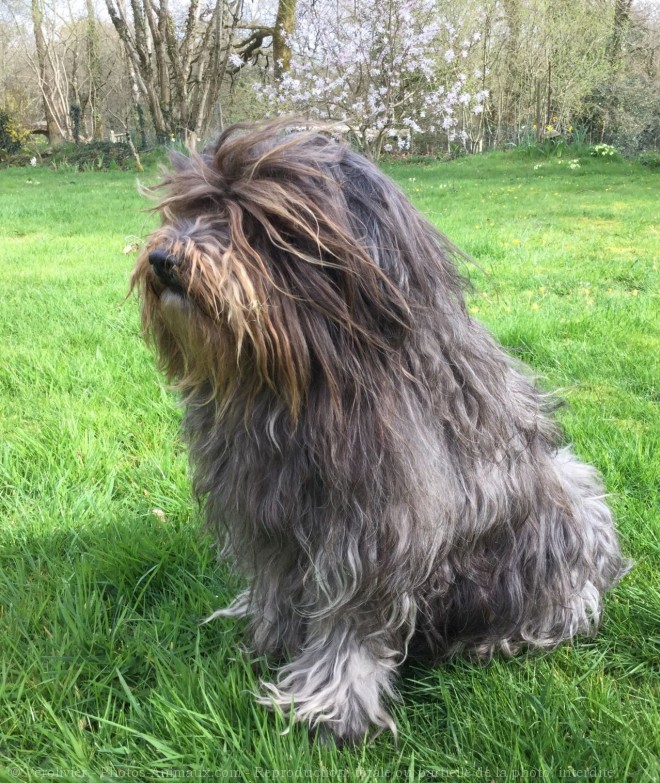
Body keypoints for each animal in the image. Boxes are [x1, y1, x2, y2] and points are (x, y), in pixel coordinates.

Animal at [131, 119, 628, 744]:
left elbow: (351, 626)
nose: (163, 257)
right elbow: (277, 587)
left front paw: (329, 707)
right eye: (189, 206)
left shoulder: (375, 533)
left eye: (255, 220)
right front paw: (267, 642)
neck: (298, 383)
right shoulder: (264, 513)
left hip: (572, 502)